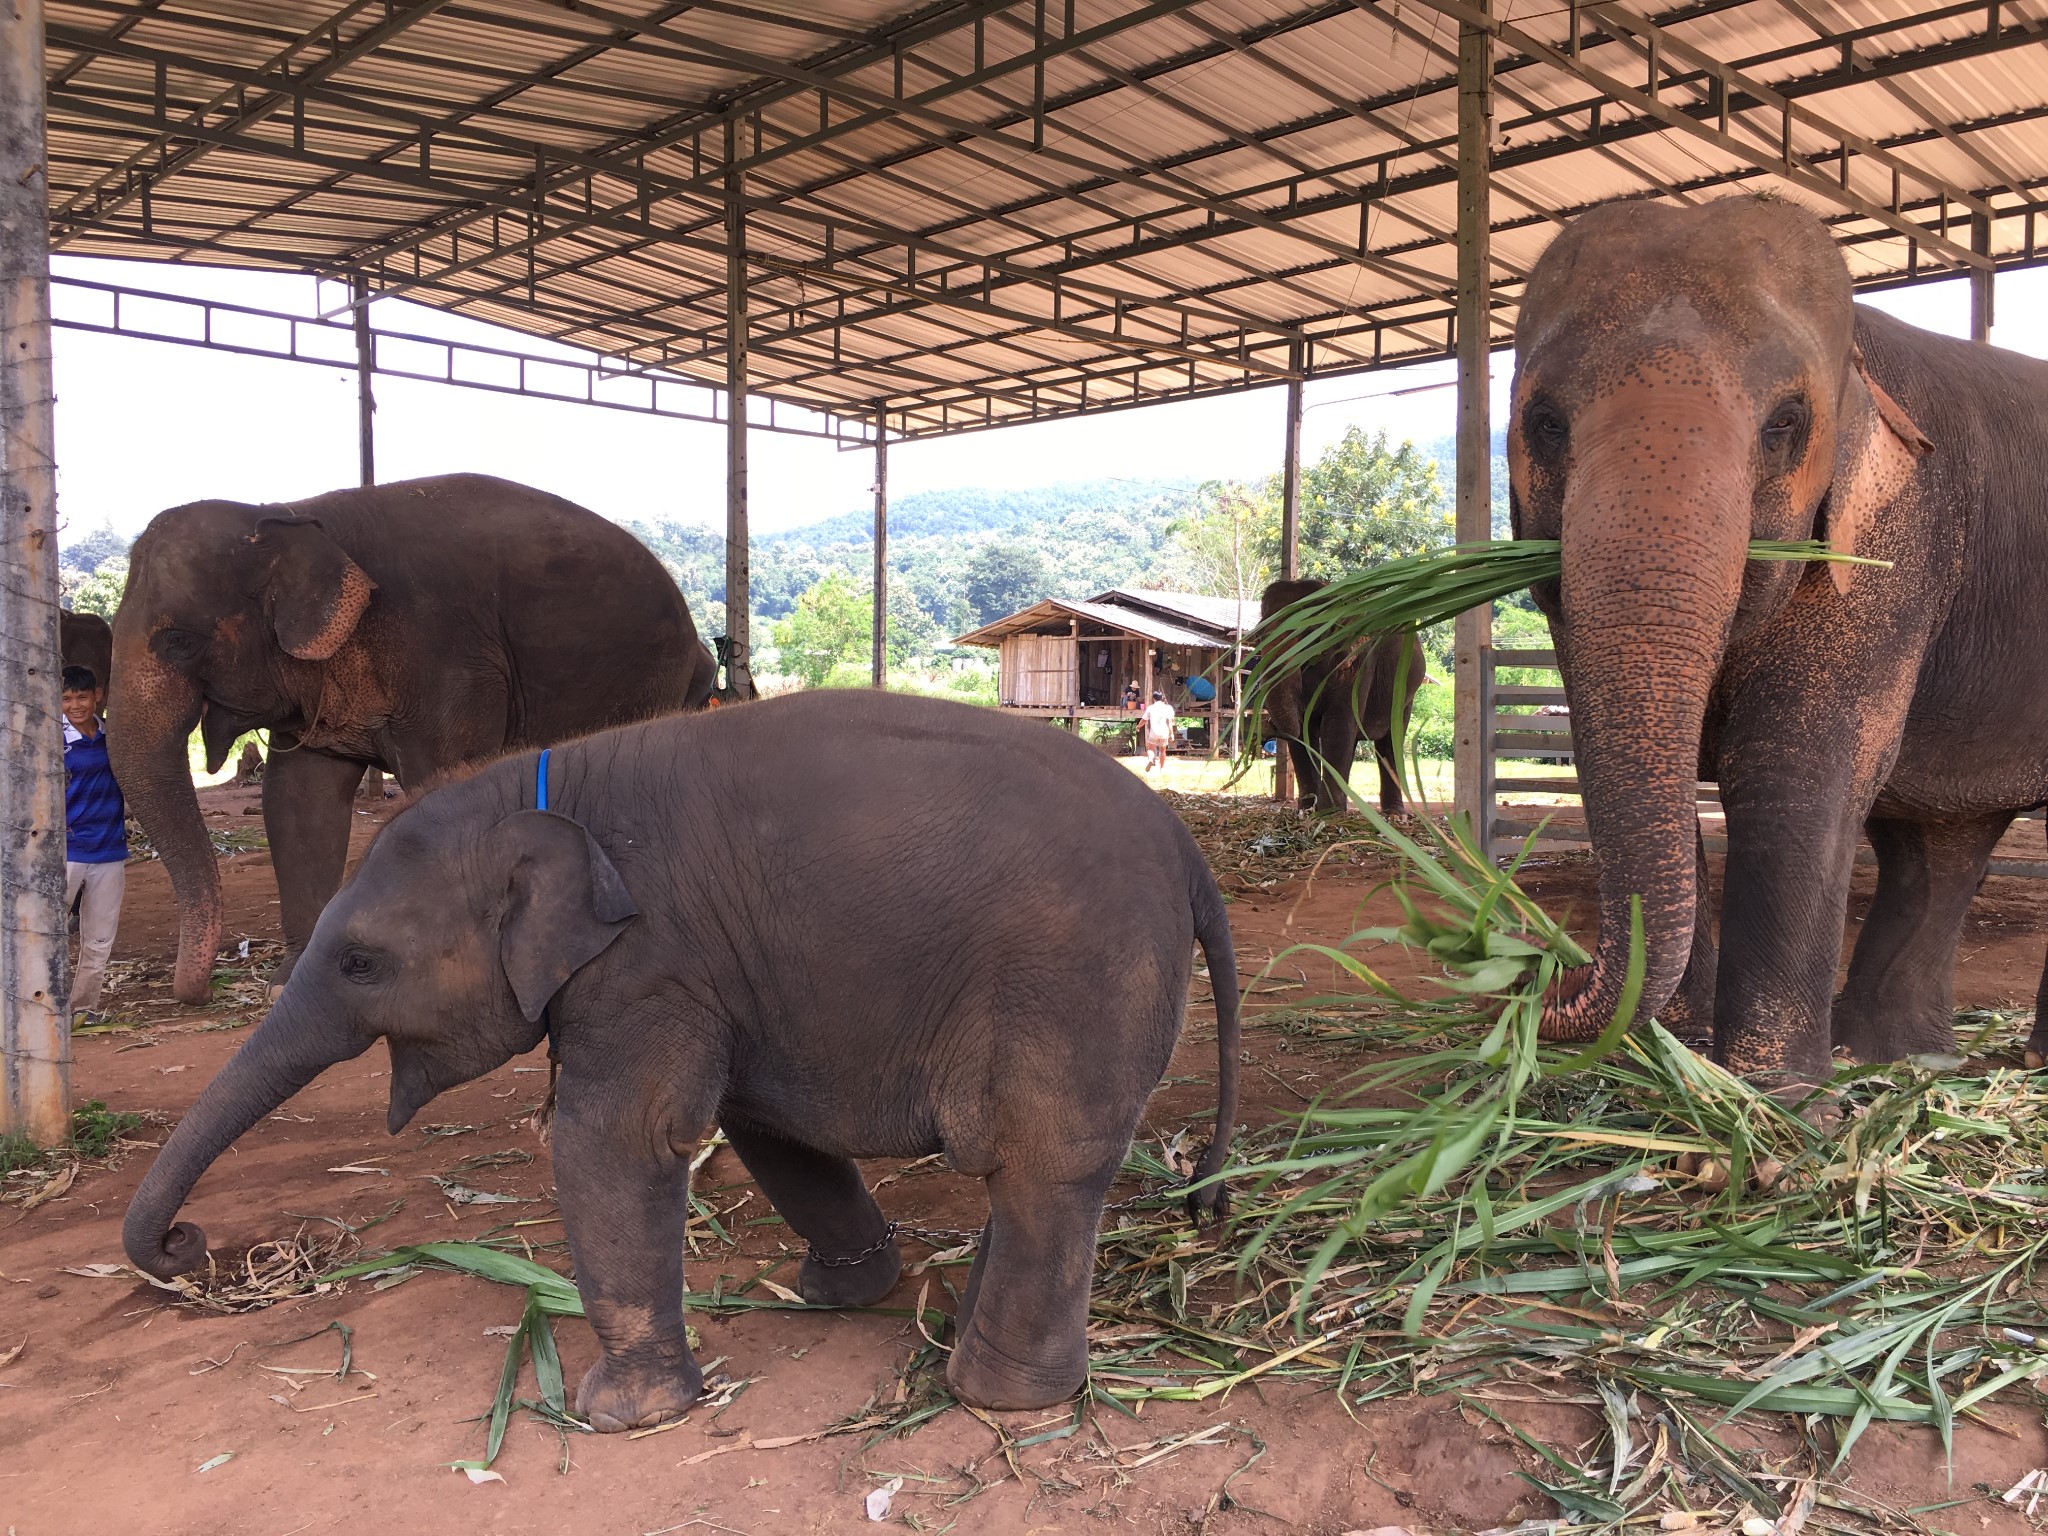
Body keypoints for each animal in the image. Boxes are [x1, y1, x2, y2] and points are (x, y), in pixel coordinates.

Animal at [114, 479, 720, 1011]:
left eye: (178, 641)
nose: (197, 994)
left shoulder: (449, 660)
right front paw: (287, 985)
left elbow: (440, 787)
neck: (291, 513)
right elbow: (297, 802)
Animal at [128, 696, 1245, 1433]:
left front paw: (619, 1416)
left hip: (1075, 982)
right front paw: (836, 1297)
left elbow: (613, 1143)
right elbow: (762, 1123)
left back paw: (995, 1400)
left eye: (361, 962)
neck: (540, 787)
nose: (188, 1247)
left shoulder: (646, 963)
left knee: (1042, 1167)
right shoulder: (724, 973)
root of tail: (1190, 855)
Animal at [1245, 581, 1425, 819]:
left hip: (1405, 694)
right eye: (1260, 638)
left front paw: (1328, 813)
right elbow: (1304, 731)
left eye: (1309, 634)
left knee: (1390, 742)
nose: (1266, 725)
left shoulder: (1357, 663)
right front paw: (1307, 810)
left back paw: (1394, 815)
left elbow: (1337, 726)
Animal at [1507, 198, 2048, 1097]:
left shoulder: (1896, 546)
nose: (1545, 978)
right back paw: (1906, 1058)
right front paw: (1678, 1068)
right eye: (1544, 423)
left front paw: (1775, 1106)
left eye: (1785, 424)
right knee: (1942, 840)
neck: (1858, 350)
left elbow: (1792, 763)